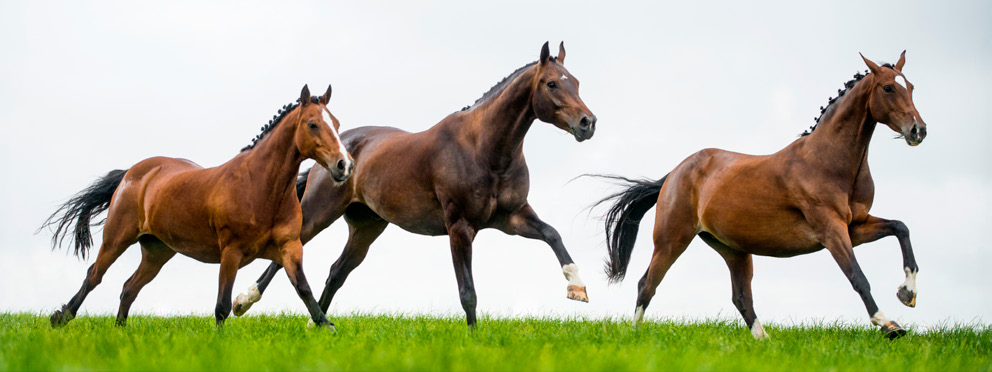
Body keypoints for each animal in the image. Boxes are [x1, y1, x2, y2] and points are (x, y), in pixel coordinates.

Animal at [42, 85, 352, 328]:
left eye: (337, 124)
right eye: (312, 124)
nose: (344, 165)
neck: (259, 187)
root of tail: (132, 173)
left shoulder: (290, 246)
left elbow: (303, 287)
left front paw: (326, 326)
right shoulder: (231, 252)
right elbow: (222, 306)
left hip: (156, 251)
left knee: (129, 288)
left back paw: (120, 331)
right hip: (117, 238)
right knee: (94, 275)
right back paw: (61, 317)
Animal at [231, 41, 596, 326]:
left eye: (576, 82)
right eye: (552, 84)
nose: (587, 123)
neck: (482, 148)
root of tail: (339, 153)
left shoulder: (512, 217)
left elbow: (552, 234)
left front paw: (577, 287)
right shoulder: (460, 226)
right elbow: (468, 292)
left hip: (366, 228)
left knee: (336, 271)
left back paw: (316, 323)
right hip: (318, 215)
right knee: (287, 255)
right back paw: (243, 301)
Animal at [596, 52, 928, 340]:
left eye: (911, 86)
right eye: (888, 87)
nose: (918, 130)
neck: (828, 161)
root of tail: (674, 174)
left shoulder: (854, 227)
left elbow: (900, 228)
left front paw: (907, 294)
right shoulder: (832, 231)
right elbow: (858, 277)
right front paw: (889, 325)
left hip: (734, 250)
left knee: (741, 297)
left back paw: (765, 340)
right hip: (671, 240)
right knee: (647, 284)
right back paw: (634, 335)